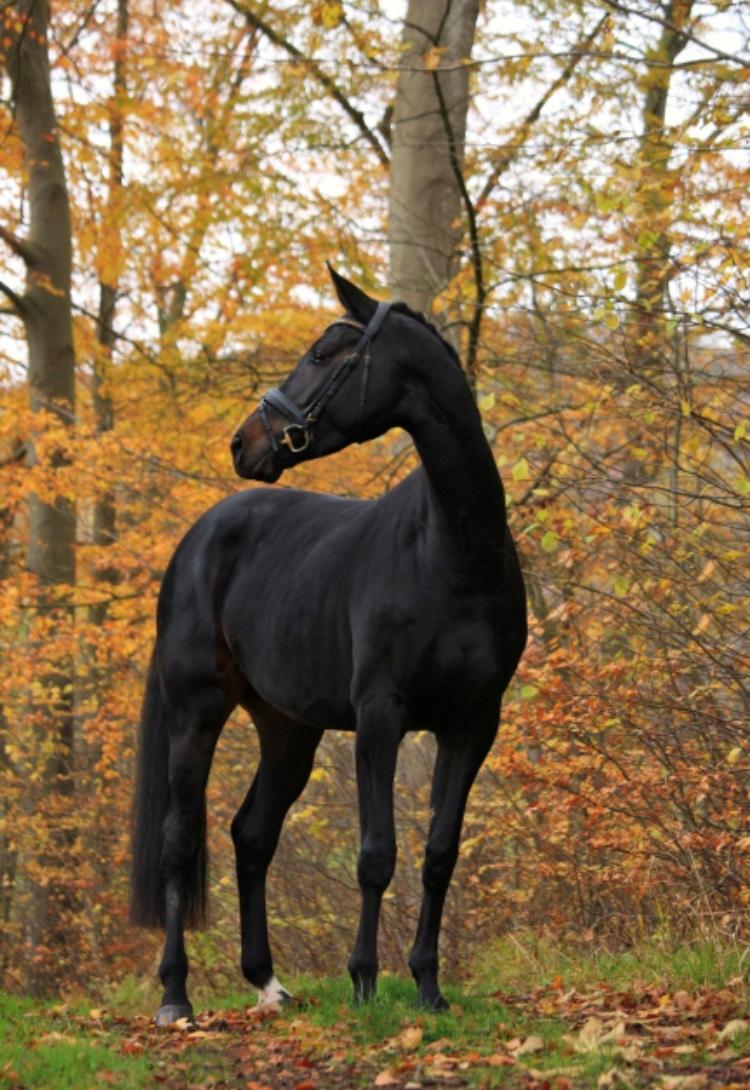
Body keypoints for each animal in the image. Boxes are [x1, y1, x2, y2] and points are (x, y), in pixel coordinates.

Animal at [130, 265, 527, 1020]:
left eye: (321, 354)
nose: (244, 442)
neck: (453, 555)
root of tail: (198, 539)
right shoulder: (380, 717)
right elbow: (377, 853)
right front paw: (365, 982)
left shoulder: (472, 725)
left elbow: (438, 854)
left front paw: (427, 988)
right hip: (196, 715)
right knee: (176, 842)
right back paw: (174, 996)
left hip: (288, 730)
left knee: (251, 835)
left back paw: (267, 983)